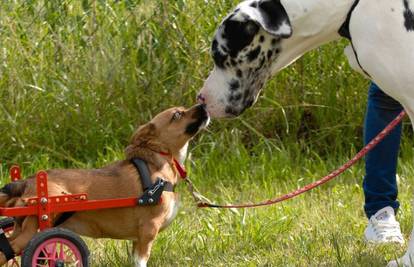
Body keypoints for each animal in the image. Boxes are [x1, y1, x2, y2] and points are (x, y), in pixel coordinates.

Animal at [0, 104, 209, 266]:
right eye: (177, 115)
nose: (204, 105)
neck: (158, 163)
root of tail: (27, 181)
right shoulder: (148, 230)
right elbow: (141, 261)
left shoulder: (137, 239)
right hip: (39, 223)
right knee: (11, 248)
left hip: (25, 225)